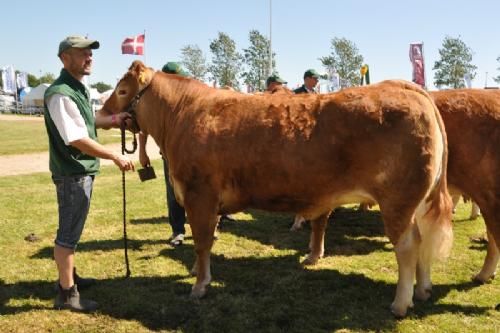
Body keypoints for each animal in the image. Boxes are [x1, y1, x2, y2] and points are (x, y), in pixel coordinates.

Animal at [102, 61, 454, 318]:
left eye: (121, 90)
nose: (103, 113)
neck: (183, 115)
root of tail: (407, 89)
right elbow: (206, 240)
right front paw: (195, 271)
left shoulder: (199, 195)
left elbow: (202, 241)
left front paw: (200, 285)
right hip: (417, 202)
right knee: (422, 240)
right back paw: (423, 289)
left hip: (397, 201)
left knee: (407, 246)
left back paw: (400, 303)